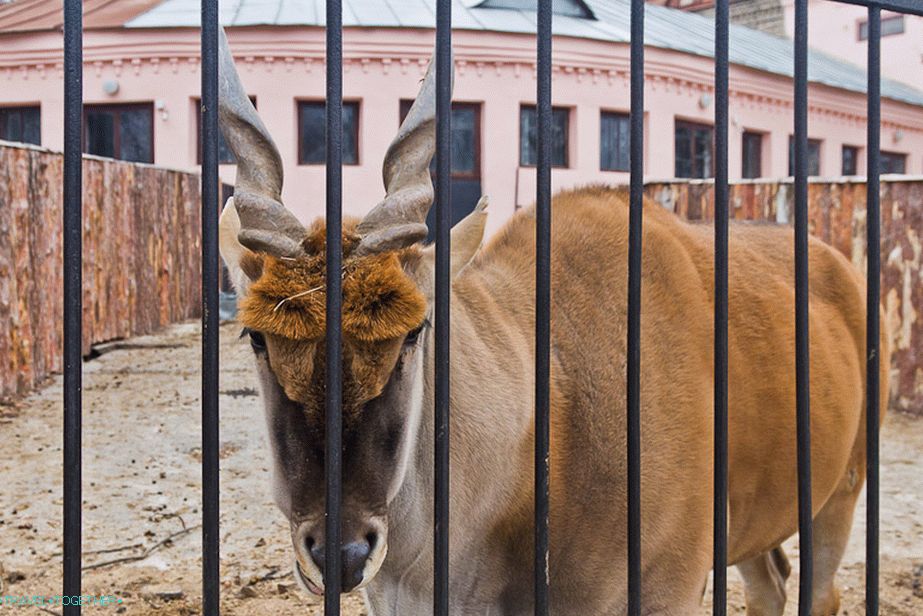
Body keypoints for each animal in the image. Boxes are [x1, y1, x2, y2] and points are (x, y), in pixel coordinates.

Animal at [215, 32, 888, 616]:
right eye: (256, 336)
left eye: (413, 332)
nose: (343, 554)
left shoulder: (672, 589)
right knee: (771, 582)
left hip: (842, 491)